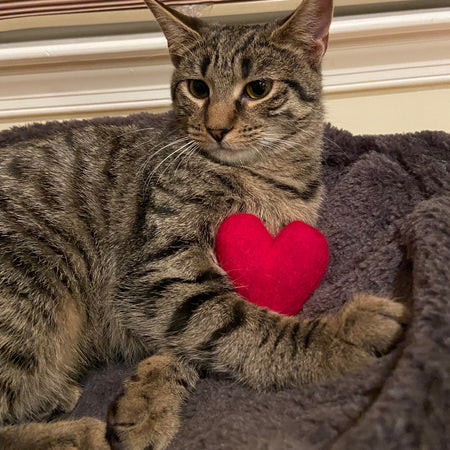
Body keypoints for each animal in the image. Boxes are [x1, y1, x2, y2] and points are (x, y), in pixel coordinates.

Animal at [0, 0, 407, 449]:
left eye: (258, 88)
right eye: (198, 88)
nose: (216, 128)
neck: (268, 176)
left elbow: (195, 340)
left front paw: (147, 402)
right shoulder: (162, 270)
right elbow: (237, 324)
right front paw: (340, 335)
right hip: (32, 286)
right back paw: (75, 433)